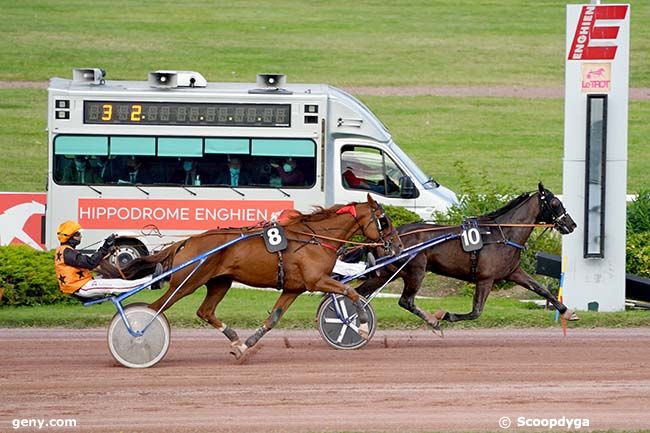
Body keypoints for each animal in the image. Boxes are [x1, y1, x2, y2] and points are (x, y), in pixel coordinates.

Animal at [117, 195, 400, 358]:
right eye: (384, 220)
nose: (396, 245)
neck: (315, 238)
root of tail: (187, 242)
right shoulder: (316, 280)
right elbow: (350, 293)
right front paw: (360, 325)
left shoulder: (294, 288)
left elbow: (273, 319)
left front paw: (247, 345)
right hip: (187, 282)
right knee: (155, 308)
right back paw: (137, 337)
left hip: (220, 282)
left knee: (205, 311)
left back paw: (234, 339)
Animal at [352, 182, 576, 330]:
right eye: (555, 203)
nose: (572, 224)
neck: (502, 233)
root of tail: (390, 237)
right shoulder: (486, 278)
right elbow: (476, 311)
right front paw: (447, 315)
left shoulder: (513, 272)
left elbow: (541, 289)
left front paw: (567, 311)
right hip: (415, 271)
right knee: (405, 301)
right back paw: (432, 321)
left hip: (386, 273)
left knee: (359, 293)